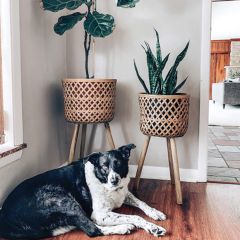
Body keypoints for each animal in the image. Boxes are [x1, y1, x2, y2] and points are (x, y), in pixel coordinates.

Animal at [0, 143, 167, 239]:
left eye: (118, 163)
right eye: (104, 166)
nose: (114, 180)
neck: (103, 182)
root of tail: (5, 218)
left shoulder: (124, 193)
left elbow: (142, 202)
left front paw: (155, 213)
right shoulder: (100, 214)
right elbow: (136, 217)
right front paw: (153, 228)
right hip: (63, 199)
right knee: (92, 229)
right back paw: (123, 227)